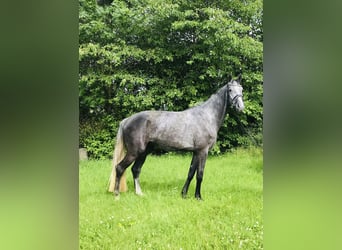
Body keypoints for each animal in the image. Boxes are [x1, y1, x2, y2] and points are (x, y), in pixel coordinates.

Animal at [108, 74, 244, 199]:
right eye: (230, 90)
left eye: (241, 89)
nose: (241, 107)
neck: (207, 116)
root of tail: (126, 120)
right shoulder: (203, 151)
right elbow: (200, 174)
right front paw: (198, 197)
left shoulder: (196, 152)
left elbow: (191, 173)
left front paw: (184, 194)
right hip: (134, 152)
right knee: (119, 168)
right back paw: (117, 195)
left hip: (144, 152)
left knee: (135, 169)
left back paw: (139, 193)